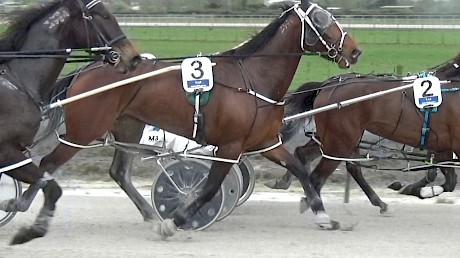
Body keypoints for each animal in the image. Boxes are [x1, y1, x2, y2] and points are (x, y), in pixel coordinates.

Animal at [0, 0, 140, 246]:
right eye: (103, 15)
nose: (132, 56)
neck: (16, 82)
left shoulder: (15, 153)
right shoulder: (6, 152)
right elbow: (52, 188)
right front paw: (32, 229)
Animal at [41, 0, 362, 238]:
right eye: (321, 18)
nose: (355, 50)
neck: (252, 77)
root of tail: (85, 69)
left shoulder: (266, 142)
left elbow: (301, 171)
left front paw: (324, 217)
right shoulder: (229, 147)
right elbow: (208, 189)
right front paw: (176, 219)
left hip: (128, 128)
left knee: (118, 172)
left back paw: (149, 216)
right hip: (82, 133)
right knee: (46, 164)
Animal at [274, 55, 460, 220]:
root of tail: (326, 86)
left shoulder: (442, 147)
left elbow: (447, 181)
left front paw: (411, 188)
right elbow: (447, 181)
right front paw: (414, 189)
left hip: (333, 138)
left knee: (305, 154)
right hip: (341, 141)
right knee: (319, 176)